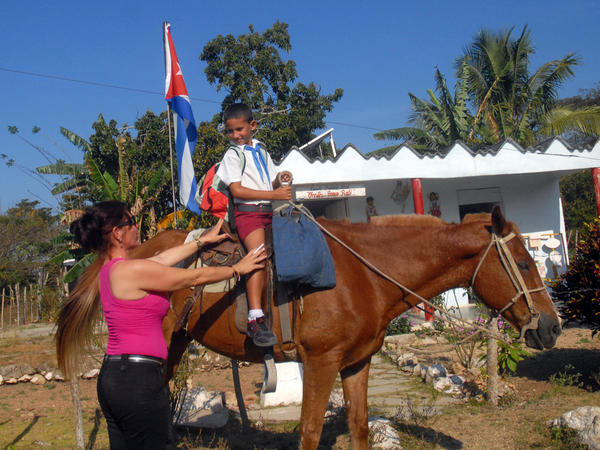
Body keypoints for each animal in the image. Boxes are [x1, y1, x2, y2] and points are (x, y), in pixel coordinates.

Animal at [132, 207, 564, 450]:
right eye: (524, 263)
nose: (552, 327)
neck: (363, 275)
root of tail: (138, 252)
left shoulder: (358, 362)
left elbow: (359, 427)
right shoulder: (321, 364)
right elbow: (309, 431)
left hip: (174, 346)